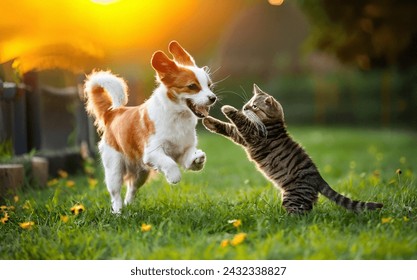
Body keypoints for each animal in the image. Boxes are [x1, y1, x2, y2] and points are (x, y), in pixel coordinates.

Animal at [83, 40, 216, 213]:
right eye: (192, 86)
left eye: (209, 85)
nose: (213, 98)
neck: (178, 118)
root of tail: (112, 113)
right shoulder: (153, 152)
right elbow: (169, 163)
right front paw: (174, 176)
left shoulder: (183, 150)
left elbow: (189, 158)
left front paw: (197, 159)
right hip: (114, 169)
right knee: (116, 194)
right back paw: (118, 212)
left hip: (141, 174)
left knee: (131, 189)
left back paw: (130, 208)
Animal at [203, 84, 382, 213]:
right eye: (247, 104)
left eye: (254, 107)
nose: (245, 108)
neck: (274, 124)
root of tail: (318, 178)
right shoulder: (243, 137)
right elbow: (227, 128)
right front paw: (209, 121)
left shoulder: (252, 134)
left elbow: (238, 120)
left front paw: (227, 108)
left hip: (294, 197)